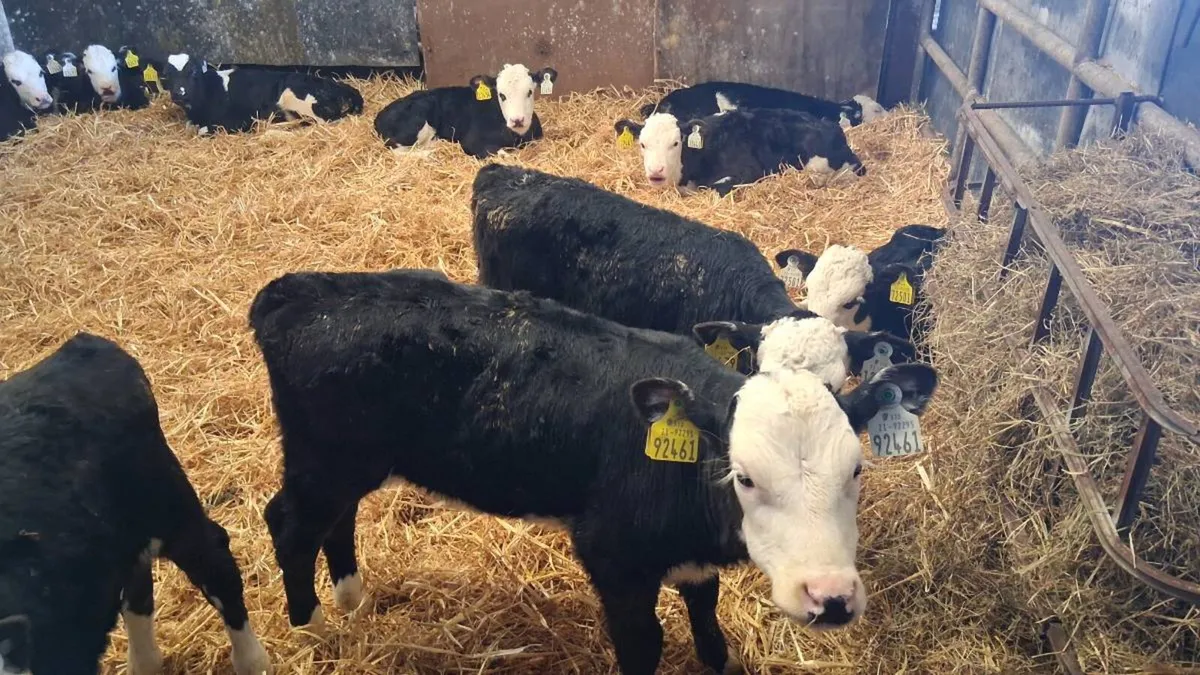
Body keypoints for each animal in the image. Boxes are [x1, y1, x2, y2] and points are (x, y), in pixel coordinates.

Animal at [165, 53, 363, 135]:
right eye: (167, 75)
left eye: (194, 72)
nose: (179, 94)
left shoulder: (240, 120)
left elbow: (203, 131)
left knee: (323, 123)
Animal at [250, 268, 940, 675]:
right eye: (744, 477)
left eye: (856, 469)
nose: (830, 598)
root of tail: (296, 291)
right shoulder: (611, 555)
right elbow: (644, 645)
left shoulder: (691, 558)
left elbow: (706, 617)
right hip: (323, 459)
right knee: (287, 524)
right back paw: (312, 627)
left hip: (351, 464)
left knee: (334, 520)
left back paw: (352, 598)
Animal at [374, 63, 558, 158]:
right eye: (502, 95)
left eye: (530, 92)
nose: (517, 120)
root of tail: (380, 115)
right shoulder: (471, 142)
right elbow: (500, 154)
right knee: (397, 150)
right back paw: (429, 153)